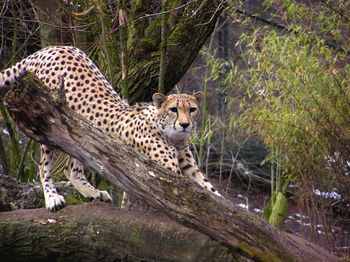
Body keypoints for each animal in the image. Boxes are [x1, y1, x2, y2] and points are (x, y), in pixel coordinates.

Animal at [0, 46, 221, 211]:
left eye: (192, 109)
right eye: (174, 109)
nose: (185, 124)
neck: (171, 134)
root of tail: (51, 48)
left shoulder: (188, 167)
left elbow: (211, 191)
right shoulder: (169, 171)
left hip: (78, 135)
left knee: (71, 169)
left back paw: (93, 192)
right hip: (45, 120)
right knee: (44, 166)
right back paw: (52, 198)